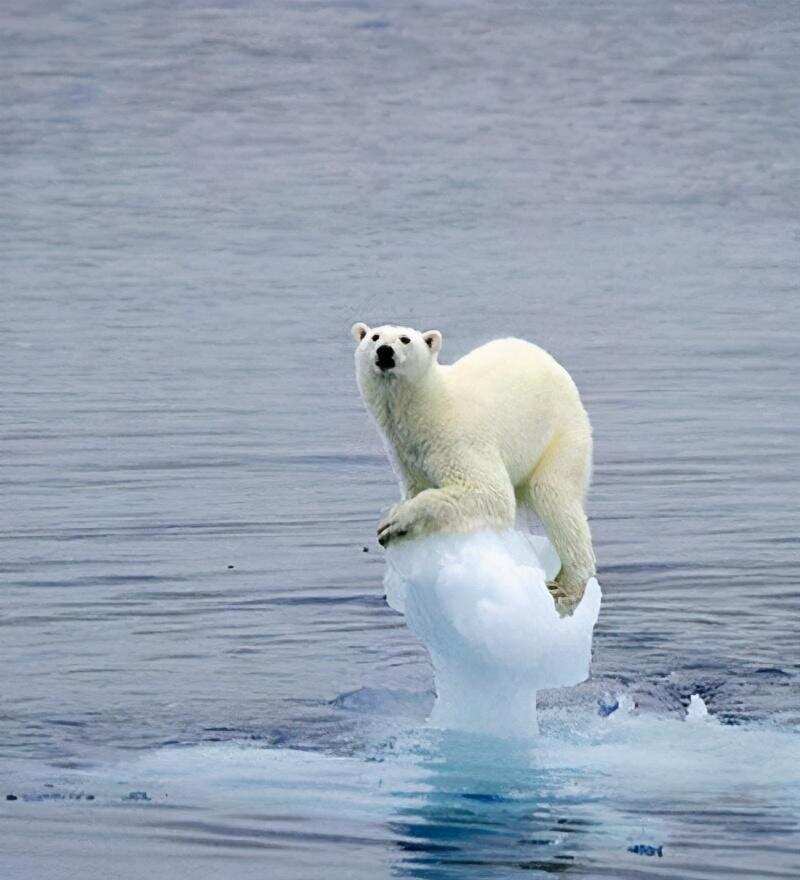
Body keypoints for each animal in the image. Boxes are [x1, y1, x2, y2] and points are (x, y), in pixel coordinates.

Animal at [350, 324, 592, 612]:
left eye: (405, 339)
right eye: (374, 336)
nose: (385, 351)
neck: (428, 406)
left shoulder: (457, 439)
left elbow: (489, 492)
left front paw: (393, 521)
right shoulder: (406, 455)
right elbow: (418, 486)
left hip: (560, 435)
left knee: (555, 497)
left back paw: (566, 589)